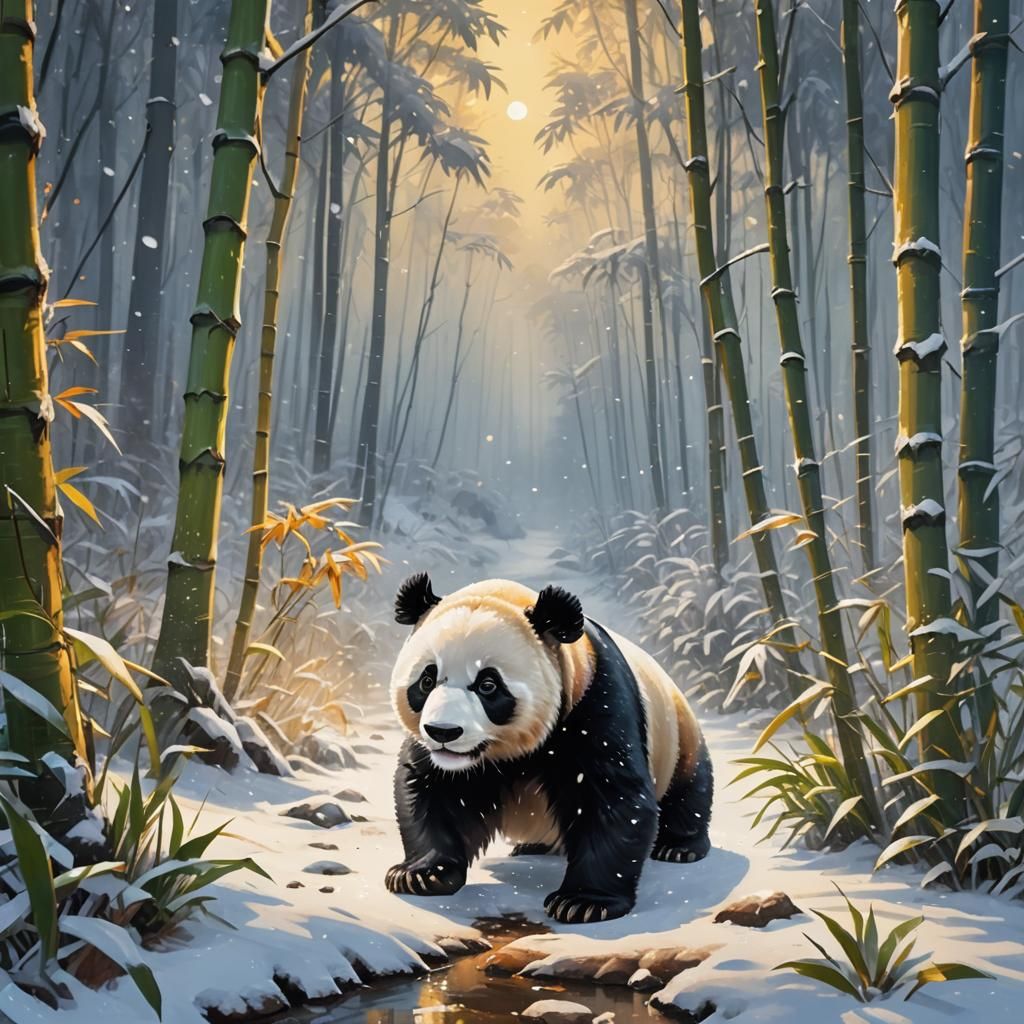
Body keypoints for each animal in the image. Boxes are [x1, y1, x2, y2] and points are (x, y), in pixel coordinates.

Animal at [385, 574, 713, 924]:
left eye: (488, 685)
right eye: (426, 681)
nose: (443, 731)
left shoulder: (595, 703)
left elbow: (614, 797)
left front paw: (583, 902)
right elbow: (429, 788)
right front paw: (419, 874)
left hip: (678, 736)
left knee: (689, 789)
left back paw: (679, 847)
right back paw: (531, 847)